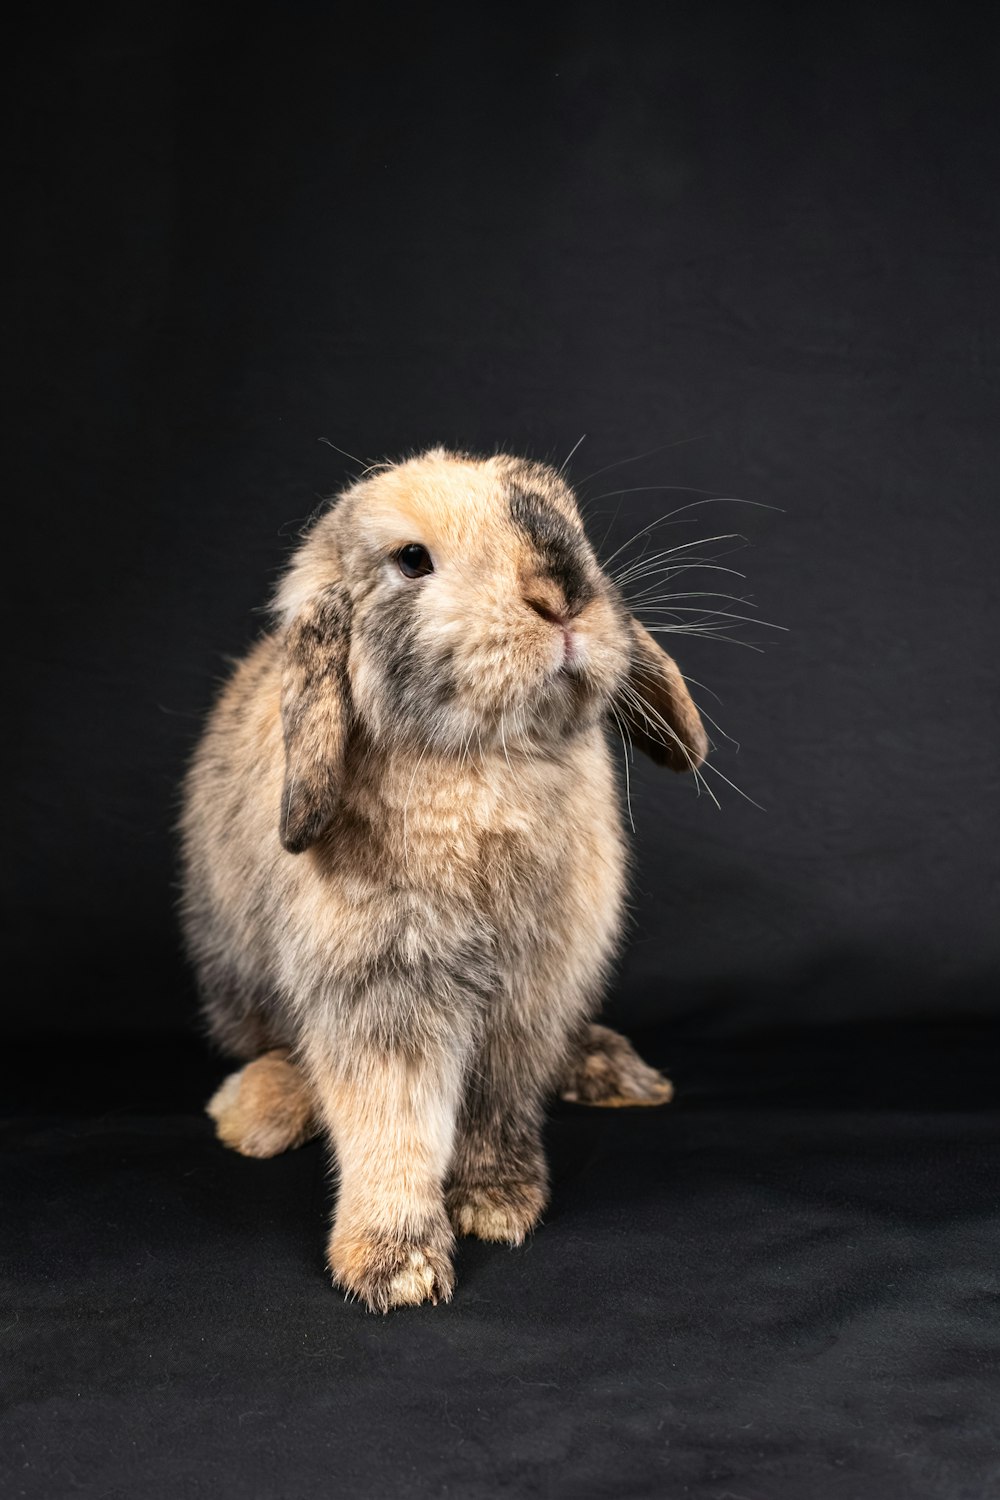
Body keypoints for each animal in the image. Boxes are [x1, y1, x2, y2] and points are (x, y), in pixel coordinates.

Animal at [182, 447, 710, 1314]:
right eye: (412, 560)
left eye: (573, 526)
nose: (562, 596)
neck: (484, 761)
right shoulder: (384, 987)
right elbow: (392, 1123)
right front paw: (395, 1267)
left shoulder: (529, 992)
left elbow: (496, 1104)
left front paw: (497, 1202)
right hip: (238, 979)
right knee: (278, 1050)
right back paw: (256, 1114)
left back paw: (617, 1072)